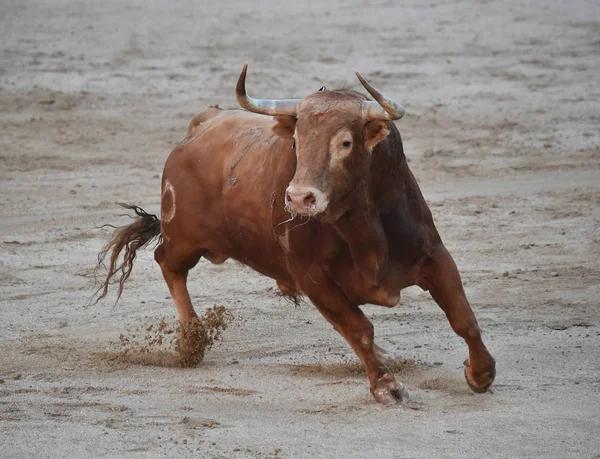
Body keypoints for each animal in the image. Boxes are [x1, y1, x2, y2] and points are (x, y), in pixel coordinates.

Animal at [95, 65, 496, 406]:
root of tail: (202, 123)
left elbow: (463, 318)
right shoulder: (312, 278)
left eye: (345, 143)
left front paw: (481, 373)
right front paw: (388, 387)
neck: (362, 228)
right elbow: (359, 328)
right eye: (297, 142)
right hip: (184, 238)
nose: (300, 197)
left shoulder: (434, 255)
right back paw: (191, 340)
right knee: (167, 263)